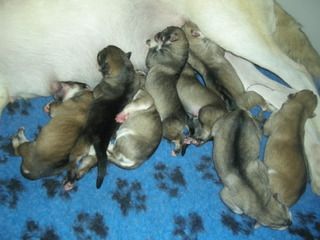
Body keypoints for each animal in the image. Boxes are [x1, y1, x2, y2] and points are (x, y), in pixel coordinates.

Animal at [69, 44, 136, 188]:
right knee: (83, 168)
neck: (123, 78)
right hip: (91, 156)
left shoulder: (97, 90)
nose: (100, 49)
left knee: (74, 161)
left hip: (81, 144)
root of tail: (101, 141)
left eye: (100, 56)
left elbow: (93, 91)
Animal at [145, 25, 190, 155]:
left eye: (161, 36)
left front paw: (152, 43)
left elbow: (152, 52)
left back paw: (175, 152)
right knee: (181, 139)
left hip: (166, 126)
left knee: (179, 138)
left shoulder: (153, 59)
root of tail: (185, 119)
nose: (157, 34)